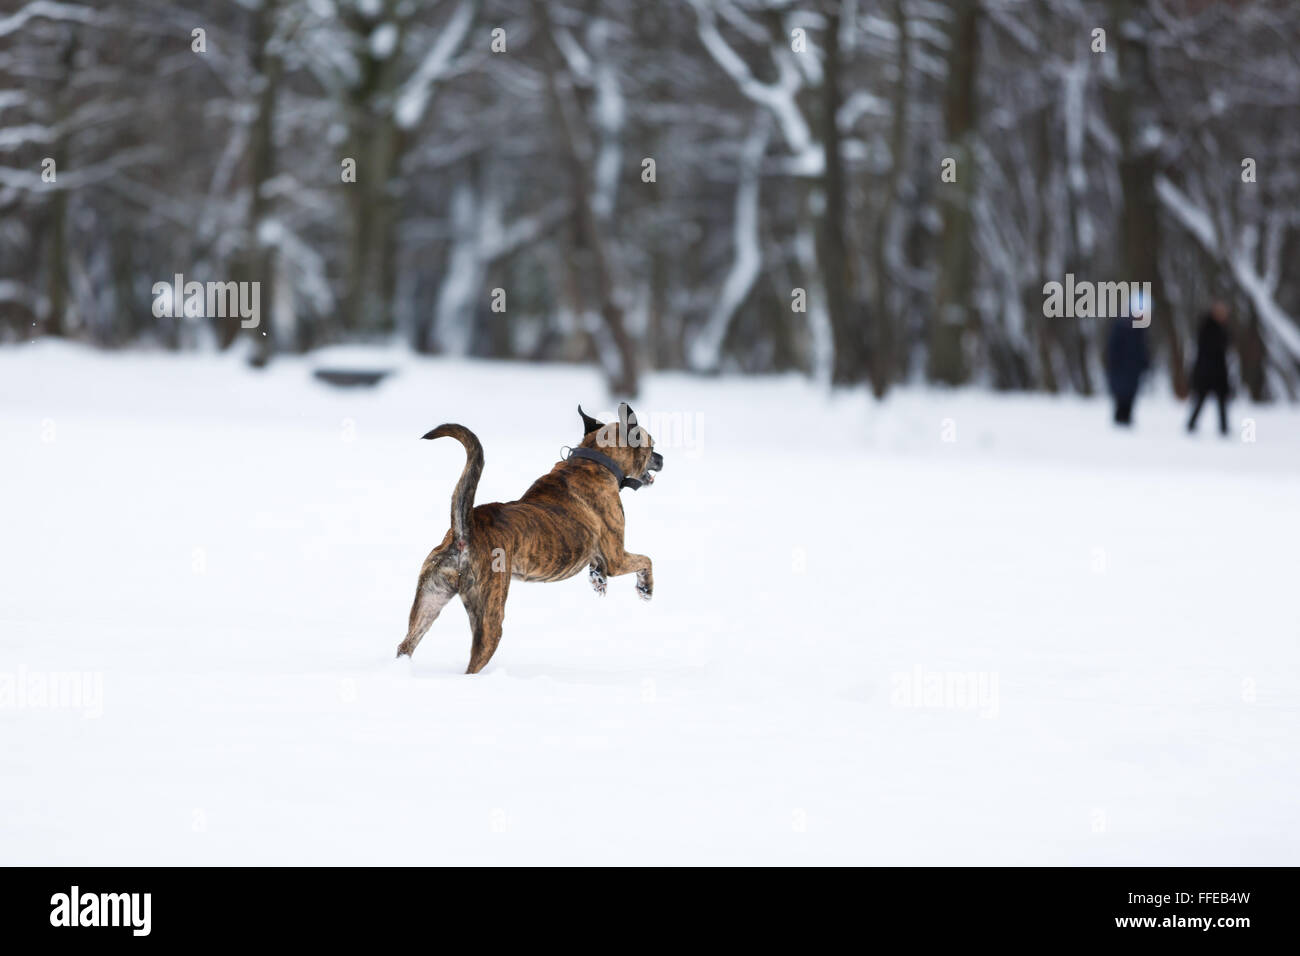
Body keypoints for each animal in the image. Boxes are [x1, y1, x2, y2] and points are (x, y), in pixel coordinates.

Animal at [392, 403, 660, 671]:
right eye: (652, 445)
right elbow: (646, 560)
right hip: (489, 618)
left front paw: (598, 580)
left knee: (406, 645)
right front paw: (645, 588)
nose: (662, 459)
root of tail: (464, 531)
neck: (592, 460)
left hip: (429, 599)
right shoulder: (617, 558)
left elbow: (600, 567)